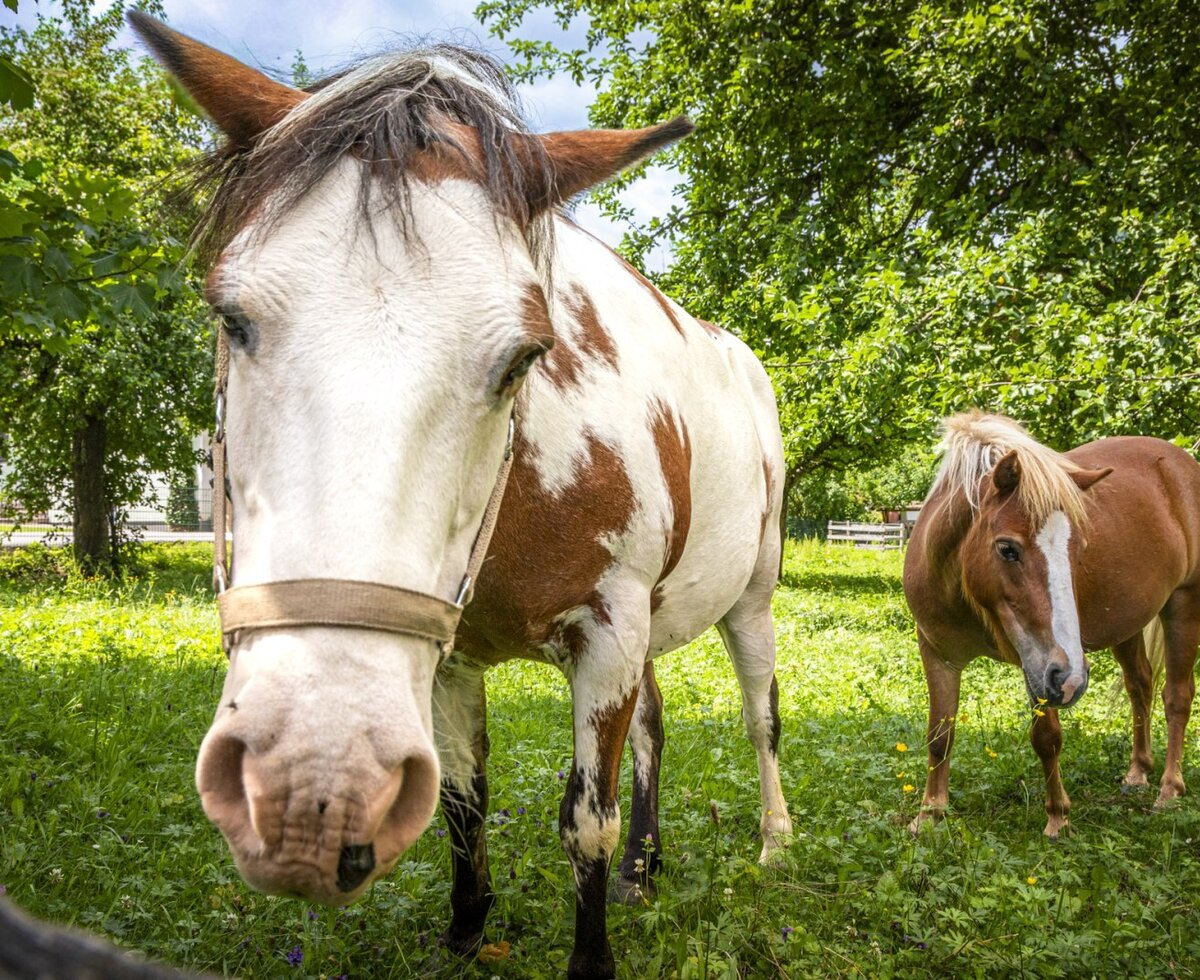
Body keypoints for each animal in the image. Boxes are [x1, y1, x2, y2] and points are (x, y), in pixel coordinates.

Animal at [129, 14, 792, 979]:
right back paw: (645, 867)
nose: (310, 788)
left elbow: (584, 823)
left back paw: (775, 840)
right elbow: (464, 799)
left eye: (523, 356)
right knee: (655, 728)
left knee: (759, 715)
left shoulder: (608, 636)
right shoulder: (452, 658)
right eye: (231, 317)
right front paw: (468, 927)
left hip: (751, 602)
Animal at [903, 410, 1200, 838]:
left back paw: (1169, 790)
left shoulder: (1041, 666)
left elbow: (1046, 737)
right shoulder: (938, 654)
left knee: (1176, 696)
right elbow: (939, 734)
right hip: (1127, 625)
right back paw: (1137, 772)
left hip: (1184, 603)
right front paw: (930, 813)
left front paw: (1057, 815)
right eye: (1007, 549)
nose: (1073, 678)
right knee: (1139, 685)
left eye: (1078, 549)